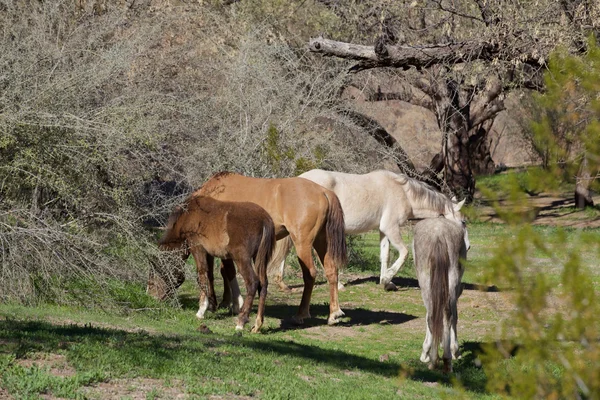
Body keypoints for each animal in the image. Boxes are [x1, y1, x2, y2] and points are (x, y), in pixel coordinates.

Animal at [156, 195, 276, 332]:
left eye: (158, 271)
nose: (153, 297)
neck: (188, 214)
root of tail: (264, 219)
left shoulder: (197, 247)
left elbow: (201, 274)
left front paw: (201, 310)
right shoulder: (208, 252)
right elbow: (209, 275)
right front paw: (212, 305)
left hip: (242, 259)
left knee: (253, 282)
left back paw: (241, 321)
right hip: (259, 259)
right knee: (263, 284)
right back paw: (257, 324)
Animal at [270, 169, 464, 290]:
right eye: (463, 222)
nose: (466, 247)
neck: (403, 192)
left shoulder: (383, 230)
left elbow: (385, 255)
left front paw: (385, 281)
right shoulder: (391, 228)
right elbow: (404, 252)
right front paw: (387, 278)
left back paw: (282, 283)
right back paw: (337, 283)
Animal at [414, 217, 472, 374]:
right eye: (463, 223)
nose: (468, 246)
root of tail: (438, 233)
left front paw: (426, 352)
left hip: (427, 282)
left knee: (434, 315)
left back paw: (435, 360)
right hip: (451, 278)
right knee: (446, 315)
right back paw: (446, 361)